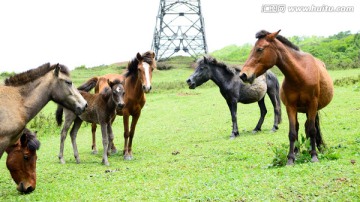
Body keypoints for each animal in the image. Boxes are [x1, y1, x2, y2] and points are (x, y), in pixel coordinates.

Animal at [240, 30, 334, 166]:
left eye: (259, 49)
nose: (243, 75)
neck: (300, 74)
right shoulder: (290, 107)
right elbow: (292, 132)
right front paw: (290, 158)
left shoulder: (312, 105)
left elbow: (312, 130)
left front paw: (314, 156)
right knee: (300, 126)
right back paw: (298, 152)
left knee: (311, 127)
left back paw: (314, 149)